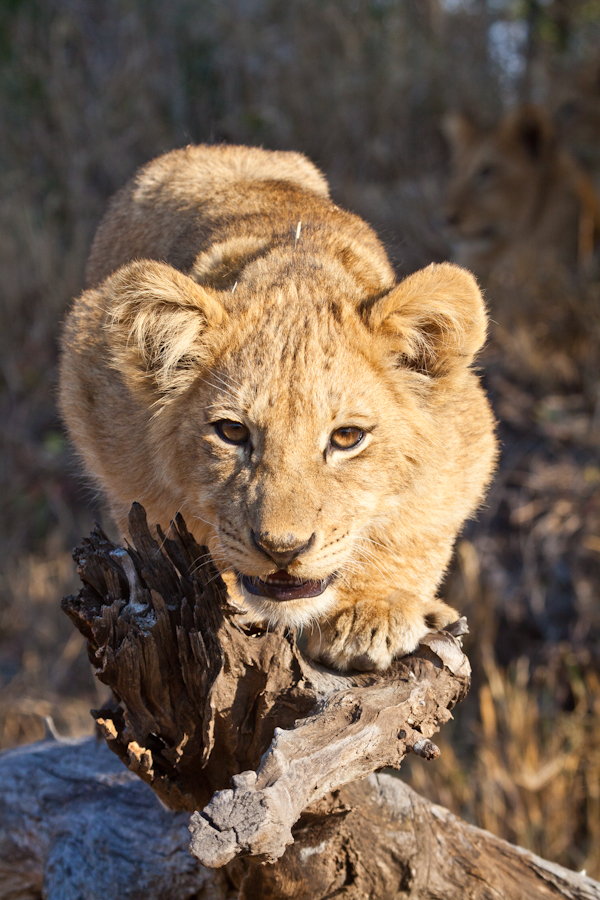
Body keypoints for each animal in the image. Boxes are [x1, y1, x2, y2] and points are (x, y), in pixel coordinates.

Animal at [59, 144, 497, 671]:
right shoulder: (91, 372)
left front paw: (372, 610)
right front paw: (224, 591)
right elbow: (156, 513)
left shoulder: (465, 430)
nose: (282, 550)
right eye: (232, 432)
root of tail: (212, 148)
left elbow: (419, 525)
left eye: (347, 438)